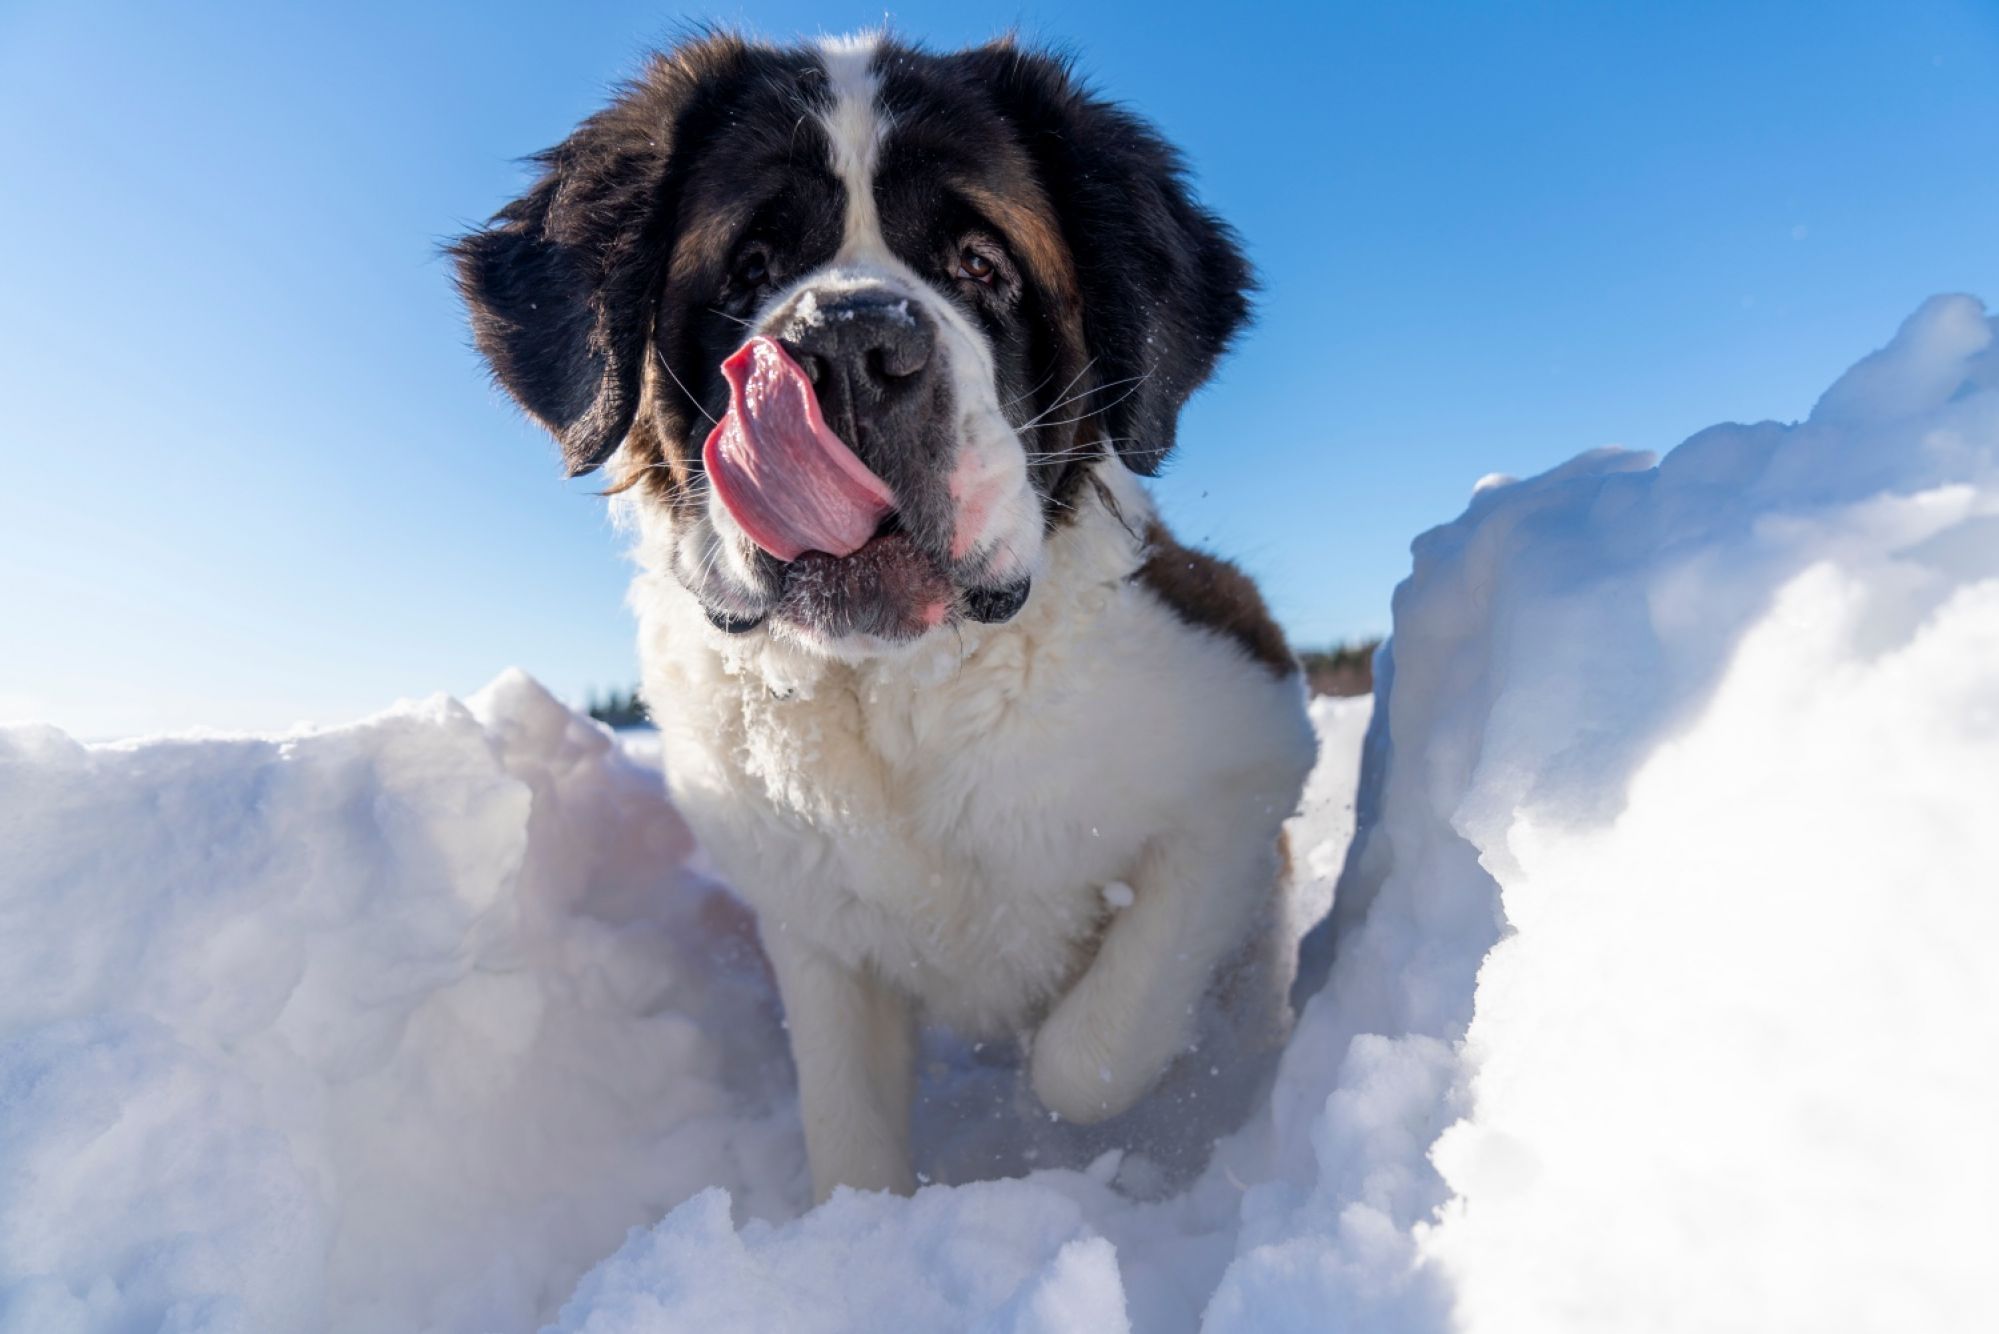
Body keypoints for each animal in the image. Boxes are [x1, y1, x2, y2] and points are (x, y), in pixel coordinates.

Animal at [457, 31, 1319, 1208]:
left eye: (981, 264)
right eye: (750, 267)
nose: (850, 347)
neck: (896, 692)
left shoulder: (1250, 744)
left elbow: (1088, 1053)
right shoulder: (809, 927)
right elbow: (849, 1130)